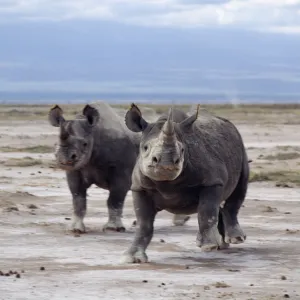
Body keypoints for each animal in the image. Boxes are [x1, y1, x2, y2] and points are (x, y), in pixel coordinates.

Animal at [120, 103, 250, 262]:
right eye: (145, 148)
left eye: (182, 150)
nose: (166, 163)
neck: (166, 183)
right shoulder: (139, 187)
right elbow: (144, 224)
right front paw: (132, 258)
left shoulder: (212, 181)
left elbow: (206, 211)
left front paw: (208, 246)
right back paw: (222, 245)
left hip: (240, 148)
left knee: (237, 191)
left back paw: (234, 239)